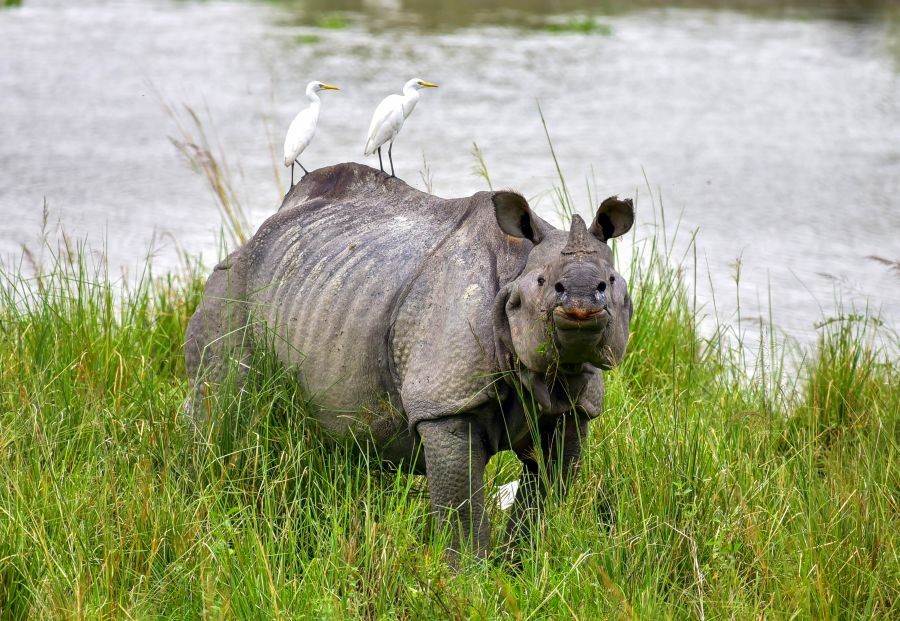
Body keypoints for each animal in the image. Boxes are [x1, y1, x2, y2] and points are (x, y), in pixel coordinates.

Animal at [185, 162, 634, 559]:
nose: (580, 297)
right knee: (225, 410)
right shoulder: (445, 405)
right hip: (232, 285)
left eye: (612, 283)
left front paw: (520, 567)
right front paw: (469, 579)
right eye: (541, 283)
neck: (516, 267)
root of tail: (263, 228)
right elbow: (461, 509)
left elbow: (547, 493)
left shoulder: (574, 408)